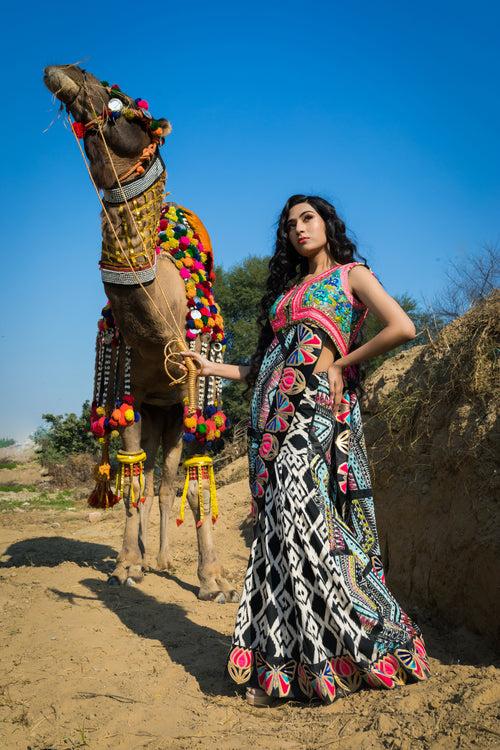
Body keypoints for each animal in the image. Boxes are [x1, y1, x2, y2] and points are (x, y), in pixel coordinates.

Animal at [43, 66, 238, 604]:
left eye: (118, 100)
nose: (67, 72)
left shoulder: (197, 392)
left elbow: (197, 480)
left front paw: (213, 580)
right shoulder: (128, 395)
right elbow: (130, 474)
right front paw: (127, 567)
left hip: (173, 413)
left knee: (169, 479)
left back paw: (170, 560)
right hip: (153, 410)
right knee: (151, 479)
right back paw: (152, 560)